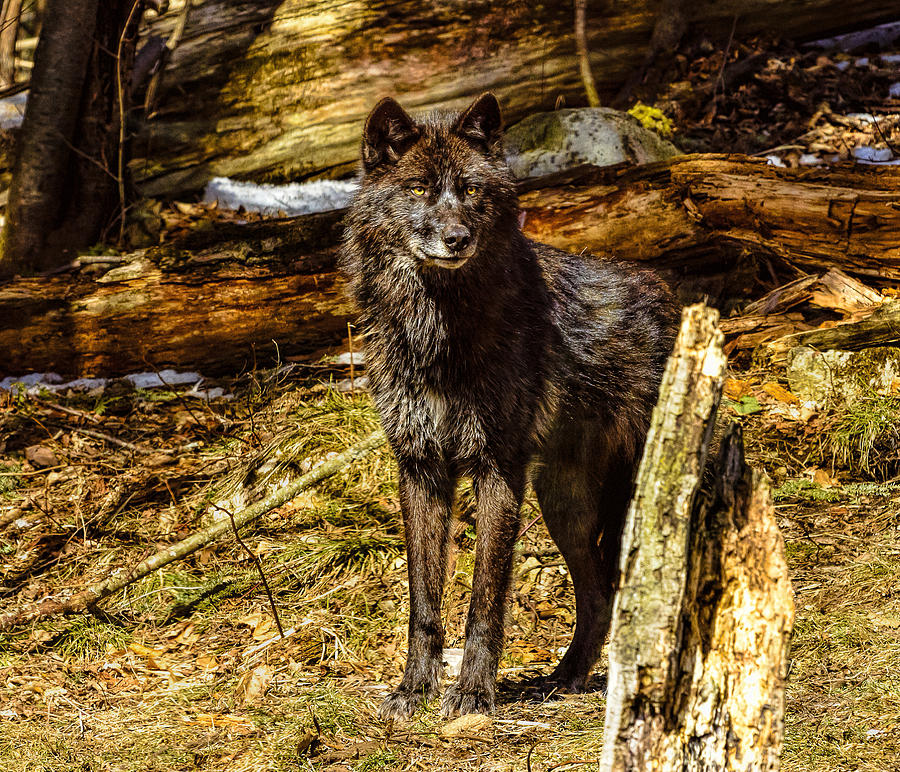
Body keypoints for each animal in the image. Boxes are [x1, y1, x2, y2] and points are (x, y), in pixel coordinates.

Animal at [342, 93, 680, 720]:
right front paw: (414, 690)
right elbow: (423, 603)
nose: (456, 238)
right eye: (418, 188)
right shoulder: (420, 469)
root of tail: (673, 299)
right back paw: (565, 677)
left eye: (471, 190)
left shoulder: (497, 467)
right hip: (565, 505)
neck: (439, 331)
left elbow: (485, 598)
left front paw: (474, 692)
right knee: (598, 595)